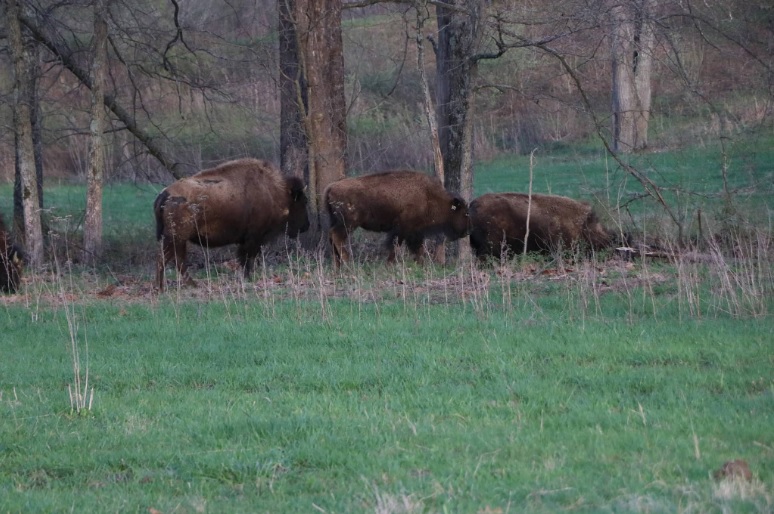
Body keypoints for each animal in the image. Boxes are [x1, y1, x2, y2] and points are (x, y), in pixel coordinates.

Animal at [154, 158, 309, 290]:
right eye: (303, 202)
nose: (306, 226)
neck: (276, 192)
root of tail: (165, 194)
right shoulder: (253, 238)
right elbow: (247, 259)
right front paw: (248, 278)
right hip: (175, 238)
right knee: (165, 259)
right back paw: (161, 288)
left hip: (179, 240)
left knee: (177, 261)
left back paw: (191, 285)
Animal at [324, 170, 470, 266]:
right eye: (464, 213)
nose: (466, 232)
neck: (430, 196)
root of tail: (331, 186)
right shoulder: (403, 229)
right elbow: (396, 245)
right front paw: (390, 264)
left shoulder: (415, 232)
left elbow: (417, 248)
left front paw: (420, 263)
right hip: (348, 223)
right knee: (336, 236)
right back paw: (347, 261)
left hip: (337, 221)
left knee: (331, 236)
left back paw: (338, 266)